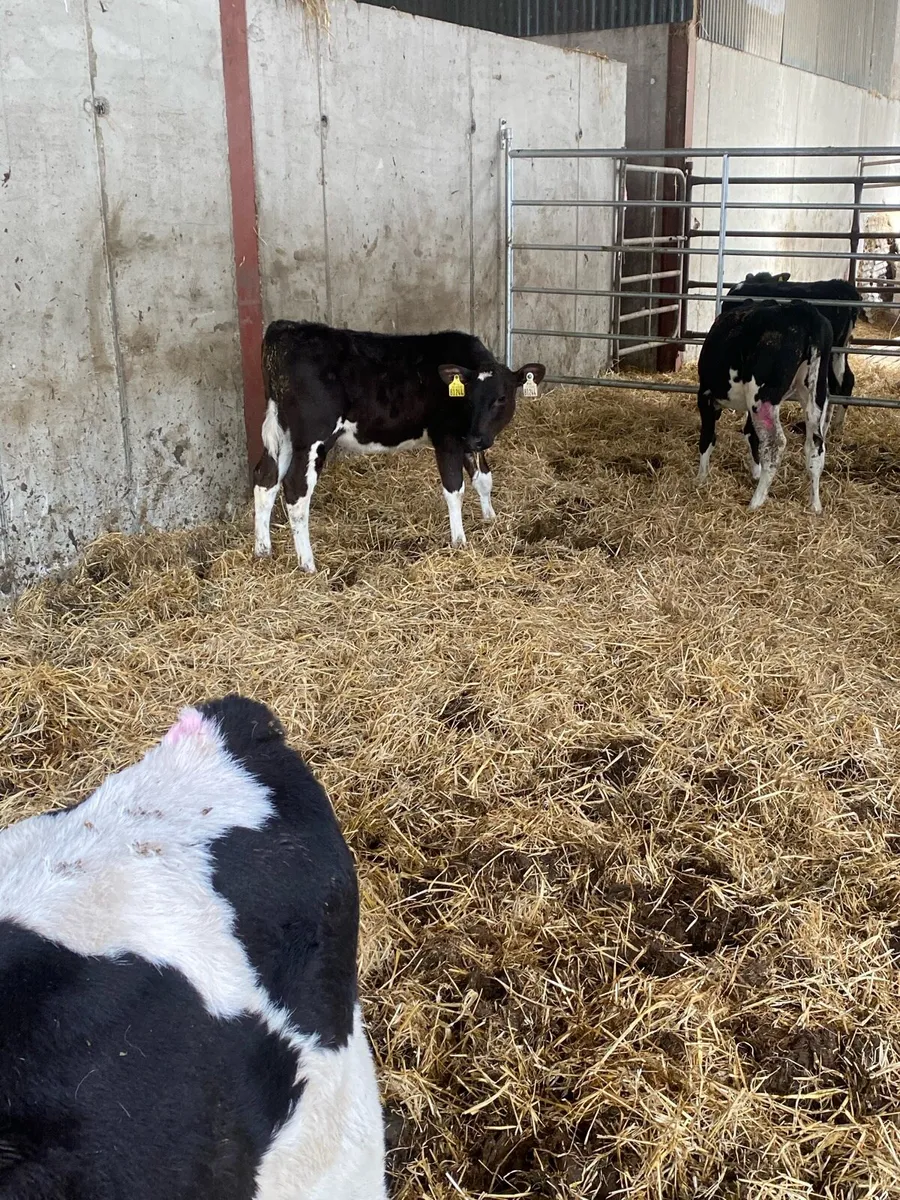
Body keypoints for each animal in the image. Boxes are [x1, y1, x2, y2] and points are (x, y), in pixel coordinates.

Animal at [252, 320, 546, 573]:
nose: (477, 438)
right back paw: (308, 564)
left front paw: (490, 519)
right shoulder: (447, 438)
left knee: (266, 479)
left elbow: (483, 478)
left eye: (501, 397)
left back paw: (263, 551)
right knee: (295, 491)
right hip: (313, 437)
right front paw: (459, 542)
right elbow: (455, 490)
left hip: (283, 432)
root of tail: (285, 328)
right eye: (469, 398)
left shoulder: (466, 440)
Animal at [697, 298, 833, 513]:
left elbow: (708, 437)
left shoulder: (706, 396)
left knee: (775, 442)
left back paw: (756, 501)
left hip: (762, 398)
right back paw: (815, 505)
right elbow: (750, 434)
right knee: (816, 445)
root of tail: (805, 310)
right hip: (816, 393)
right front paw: (755, 472)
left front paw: (700, 479)